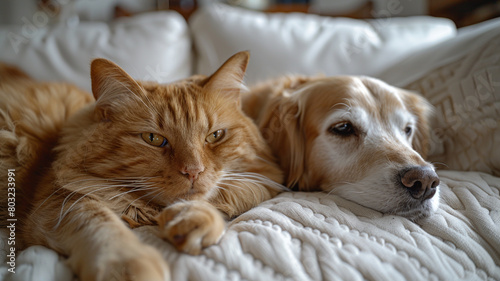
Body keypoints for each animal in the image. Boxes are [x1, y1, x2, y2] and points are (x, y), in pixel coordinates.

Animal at [0, 51, 282, 278]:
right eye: (153, 139)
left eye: (215, 136)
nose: (193, 171)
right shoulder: (56, 202)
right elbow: (100, 224)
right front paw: (129, 266)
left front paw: (194, 218)